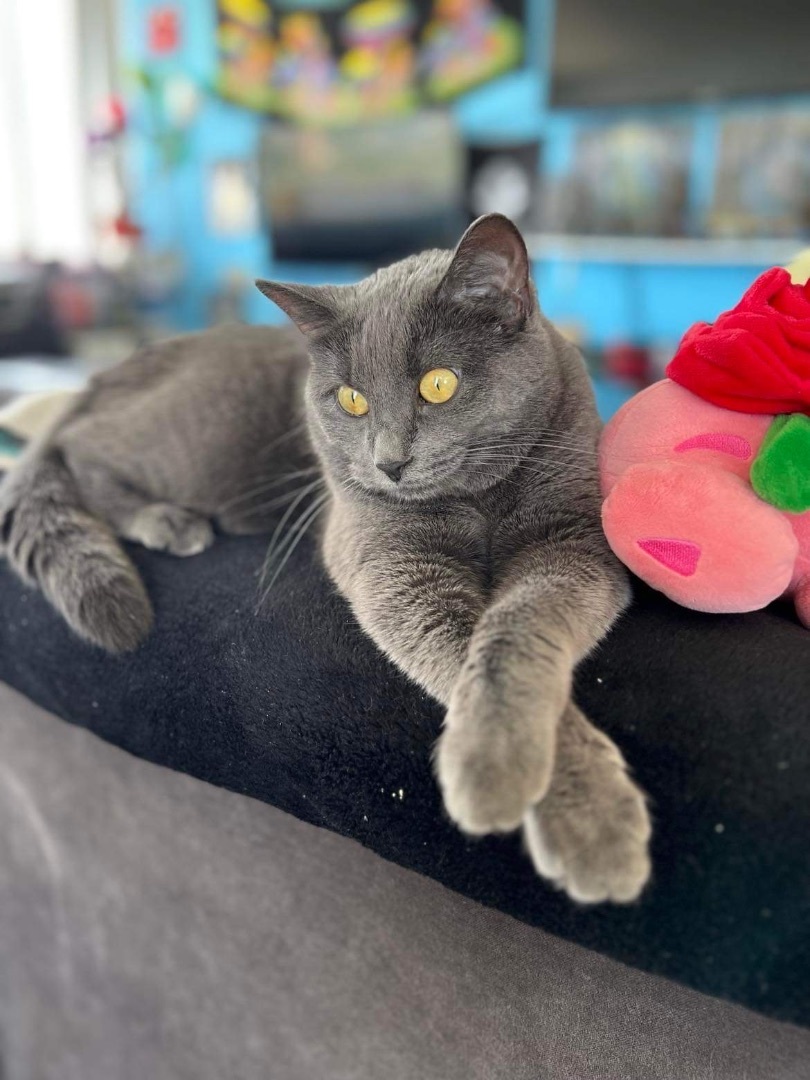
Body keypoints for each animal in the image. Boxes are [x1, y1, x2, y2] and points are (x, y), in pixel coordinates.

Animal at [0, 212, 652, 902]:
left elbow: (517, 627)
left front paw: (565, 802)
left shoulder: (572, 539)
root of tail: (108, 374)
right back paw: (166, 520)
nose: (388, 462)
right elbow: (459, 645)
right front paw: (563, 807)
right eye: (351, 400)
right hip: (195, 440)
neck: (477, 498)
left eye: (438, 384)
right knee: (78, 449)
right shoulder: (388, 559)